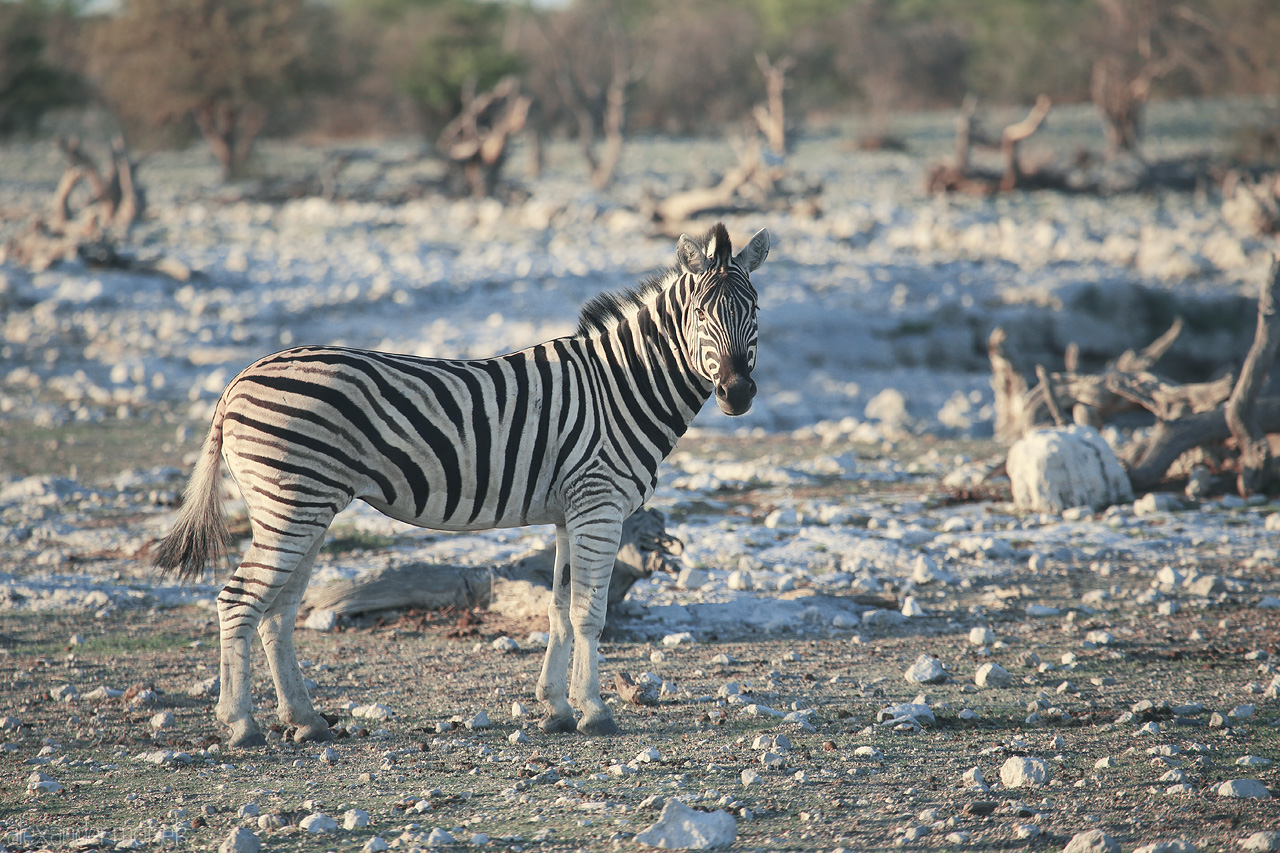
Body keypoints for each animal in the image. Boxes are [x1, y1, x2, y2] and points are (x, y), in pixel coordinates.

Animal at [149, 220, 768, 742]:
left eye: (755, 309)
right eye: (699, 313)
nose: (738, 393)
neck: (620, 386)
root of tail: (238, 380)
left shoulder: (571, 512)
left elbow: (558, 610)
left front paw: (556, 708)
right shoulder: (600, 504)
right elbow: (589, 614)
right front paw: (595, 712)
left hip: (302, 507)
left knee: (277, 611)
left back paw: (306, 721)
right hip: (291, 505)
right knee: (239, 600)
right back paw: (240, 725)